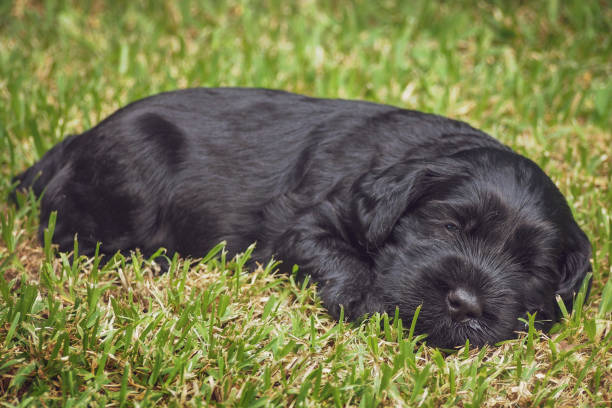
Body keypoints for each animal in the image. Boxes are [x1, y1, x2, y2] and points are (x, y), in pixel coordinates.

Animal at [10, 87, 592, 348]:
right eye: (450, 226)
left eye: (531, 268)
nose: (466, 305)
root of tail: (73, 144)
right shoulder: (307, 220)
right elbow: (339, 259)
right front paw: (367, 302)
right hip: (132, 174)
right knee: (66, 234)